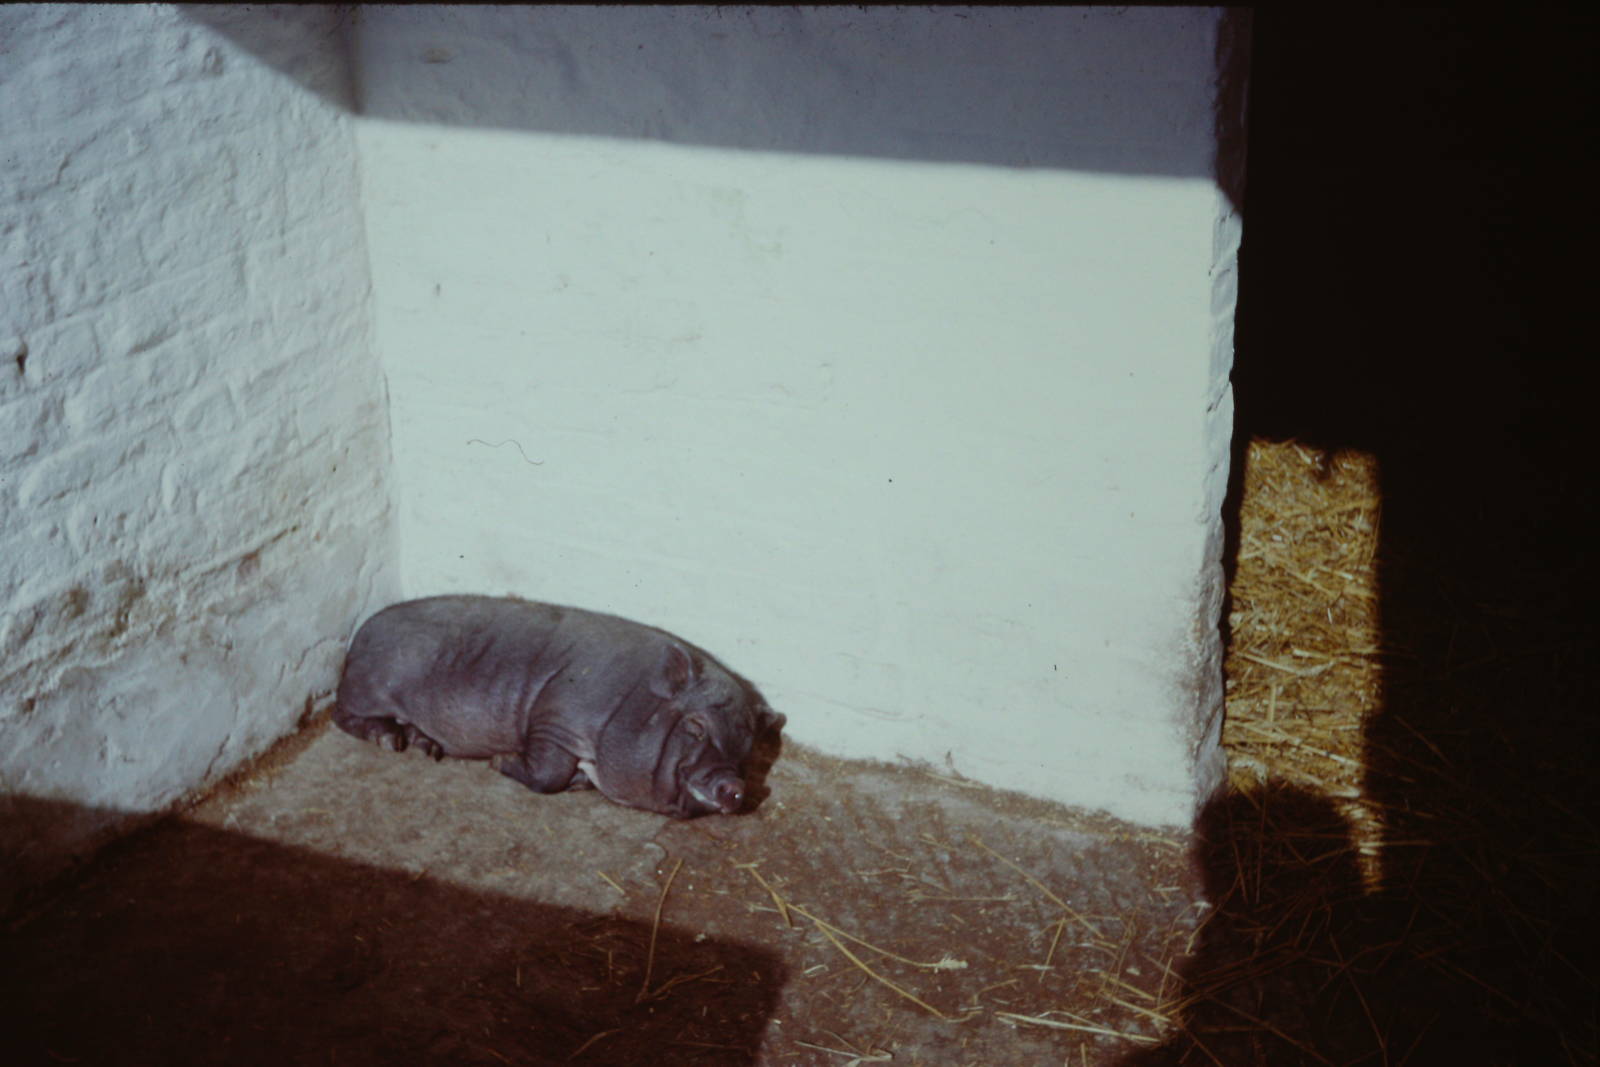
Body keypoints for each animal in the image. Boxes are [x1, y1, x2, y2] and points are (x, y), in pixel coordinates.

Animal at [333, 595, 782, 818]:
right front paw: (500, 761)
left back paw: (426, 747)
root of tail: (357, 638)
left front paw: (579, 781)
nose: (734, 786)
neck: (631, 702)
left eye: (747, 748)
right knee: (342, 715)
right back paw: (390, 740)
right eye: (696, 727)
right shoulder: (556, 719)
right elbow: (547, 773)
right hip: (370, 687)